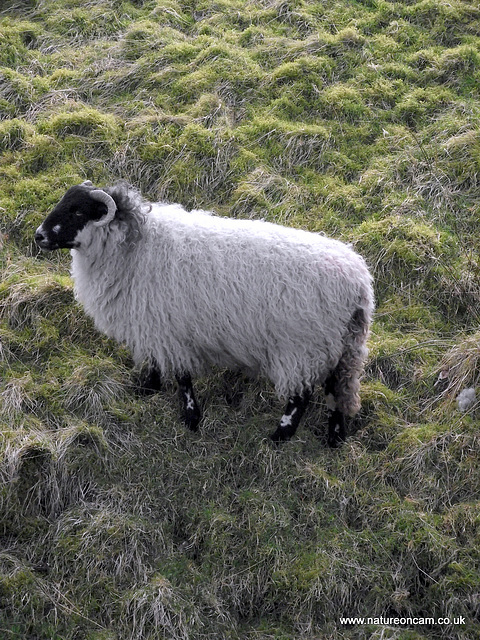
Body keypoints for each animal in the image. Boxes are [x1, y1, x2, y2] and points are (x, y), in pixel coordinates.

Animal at [35, 182, 376, 448]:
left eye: (78, 212)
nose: (38, 236)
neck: (135, 246)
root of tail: (359, 283)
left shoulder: (170, 330)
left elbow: (182, 377)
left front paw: (191, 417)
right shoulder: (153, 326)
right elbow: (155, 363)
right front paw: (147, 389)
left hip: (302, 347)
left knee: (301, 396)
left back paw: (280, 436)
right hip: (340, 346)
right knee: (338, 389)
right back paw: (334, 436)